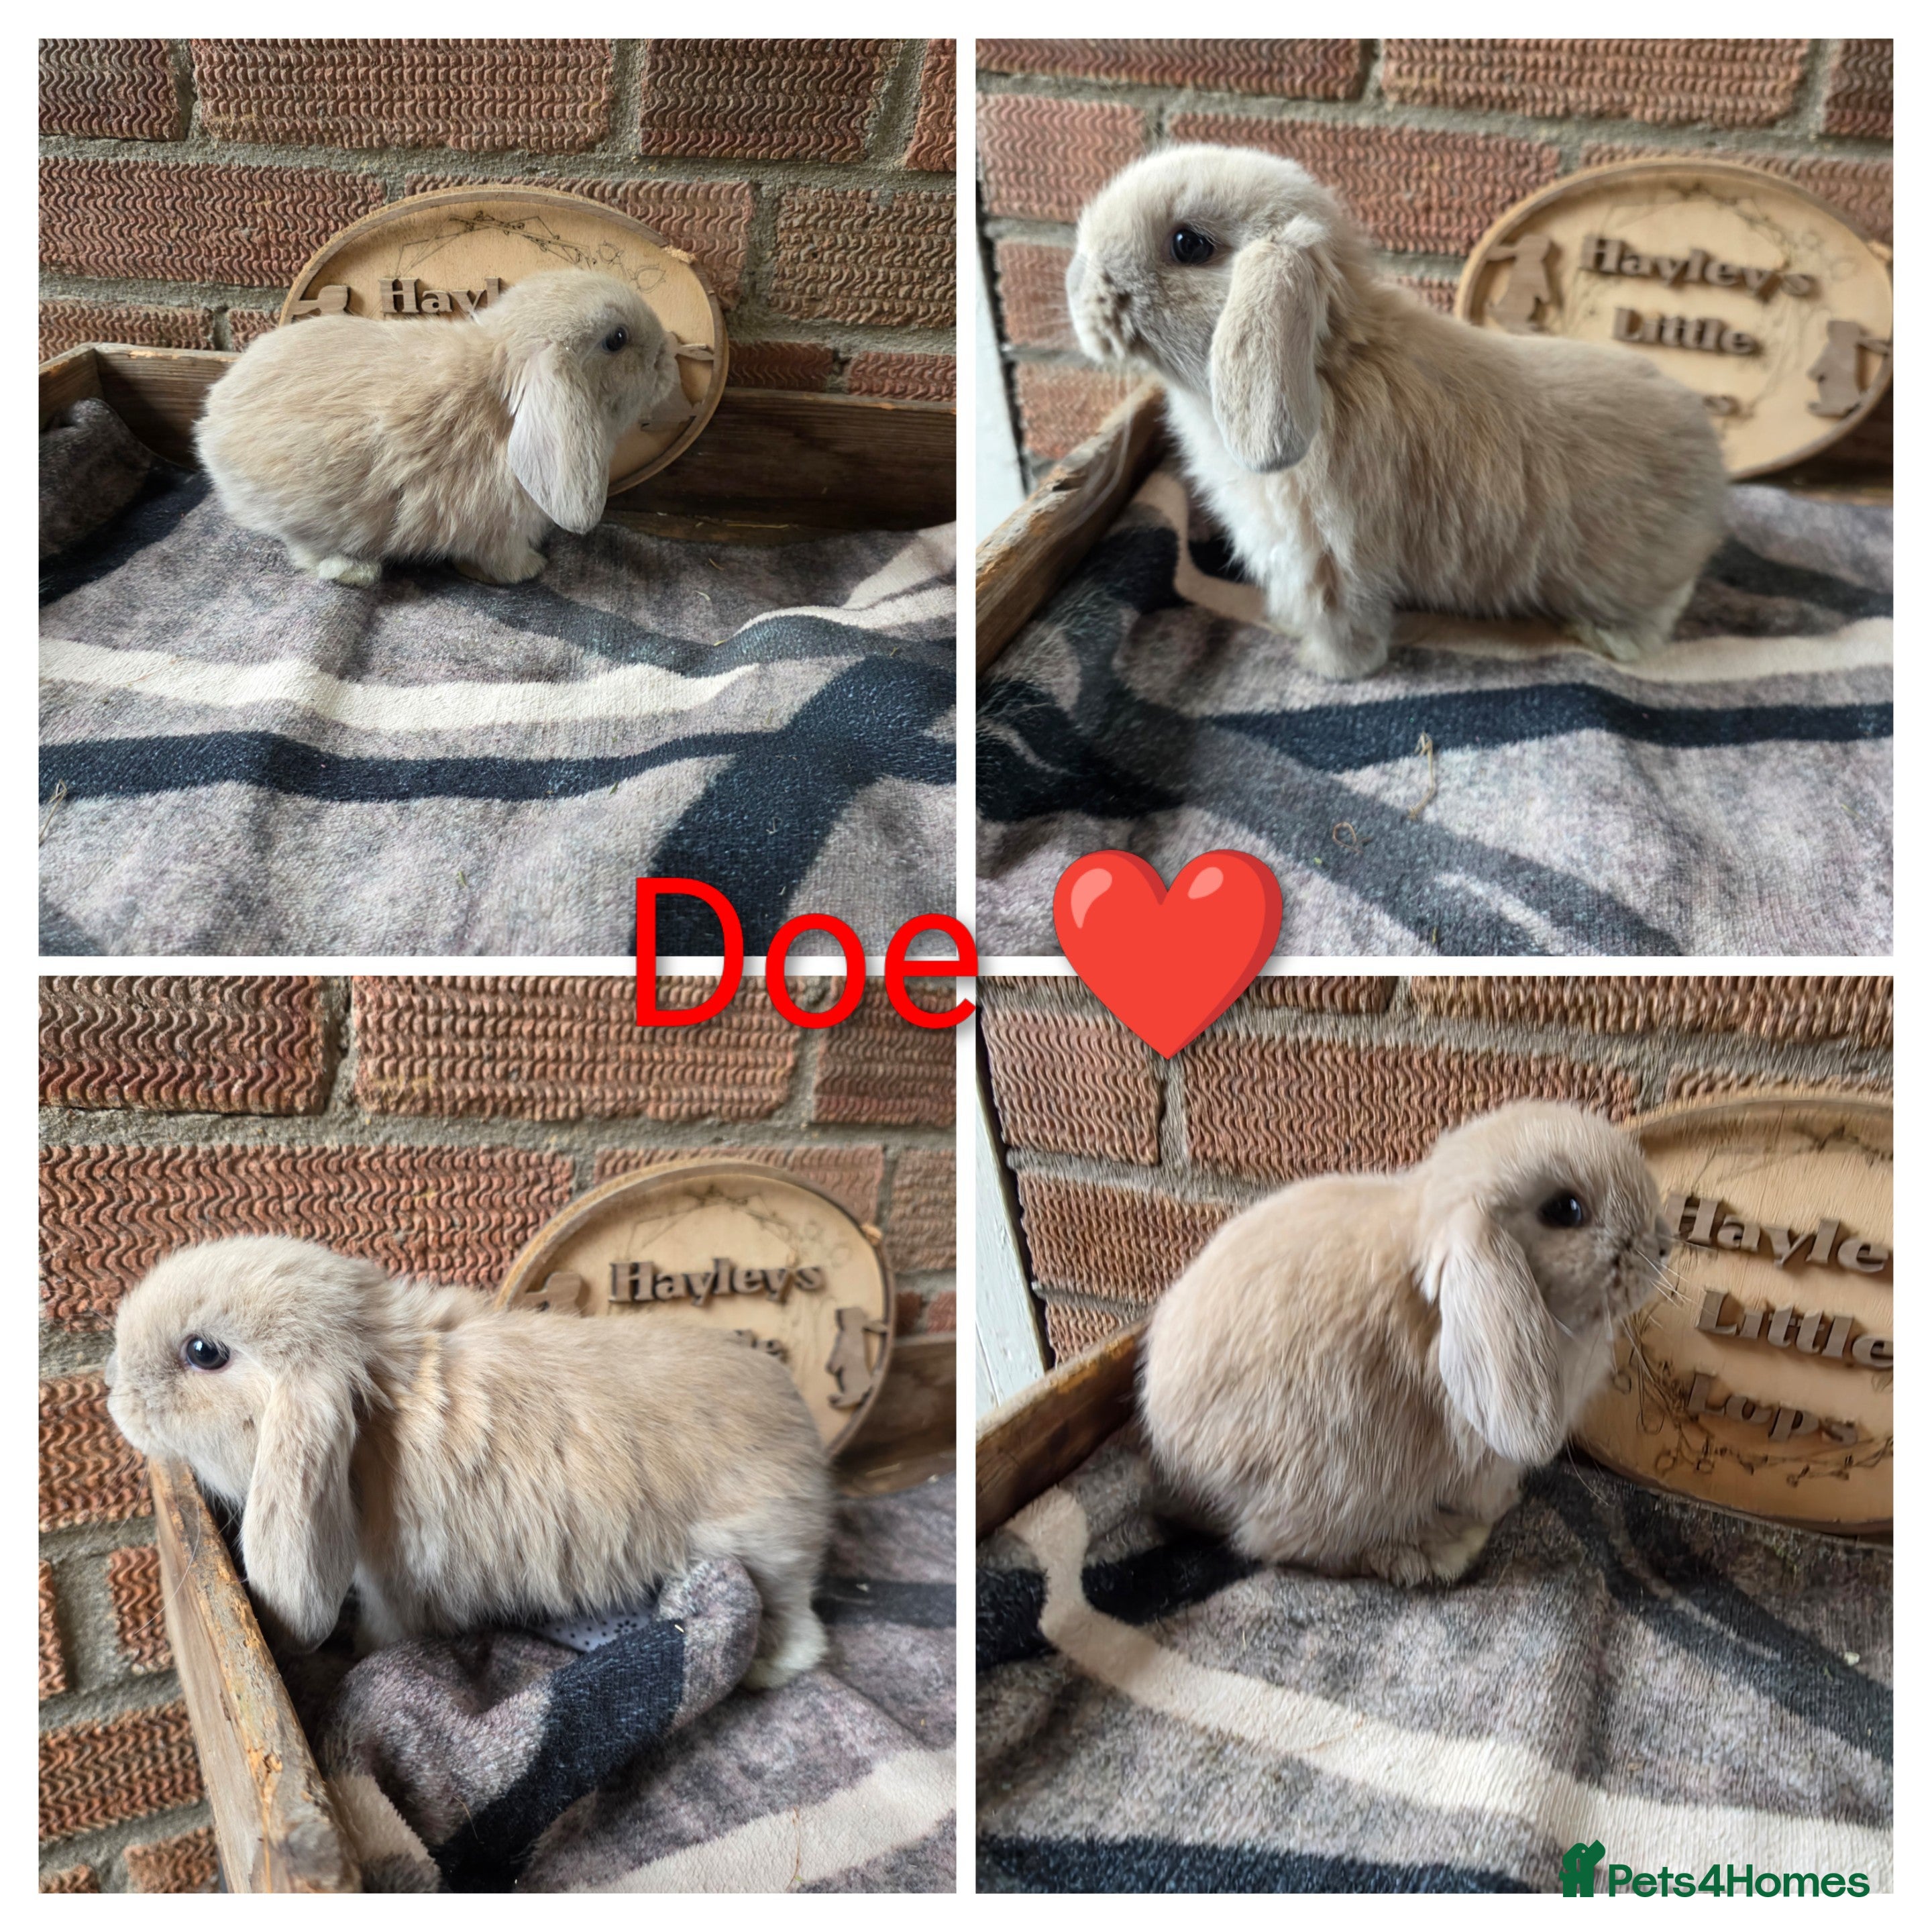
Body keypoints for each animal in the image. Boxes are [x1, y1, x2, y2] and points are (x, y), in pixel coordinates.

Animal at [104, 1235, 832, 1688]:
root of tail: (800, 1420)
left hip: (766, 1549)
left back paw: (768, 1668)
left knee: (800, 1625)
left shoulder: (398, 1586)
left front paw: (356, 1660)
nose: (112, 1390)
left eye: (203, 1352)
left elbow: (384, 1636)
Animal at [195, 271, 684, 587]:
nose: (668, 358)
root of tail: (209, 426)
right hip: (308, 512)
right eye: (617, 340)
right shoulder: (495, 530)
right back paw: (358, 572)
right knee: (306, 552)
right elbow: (501, 557)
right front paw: (530, 569)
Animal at [1066, 145, 1729, 679]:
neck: (1330, 366)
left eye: (1188, 244)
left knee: (1661, 614)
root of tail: (1713, 462)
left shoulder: (1328, 561)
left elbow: (1344, 623)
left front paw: (1328, 668)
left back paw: (1607, 639)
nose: (1075, 281)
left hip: (1635, 580)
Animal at [1138, 1101, 1672, 1584]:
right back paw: (1432, 1551)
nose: (1664, 1242)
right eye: (1565, 1209)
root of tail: (1172, 1467)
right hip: (1335, 1478)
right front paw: (1504, 1503)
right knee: (1282, 1543)